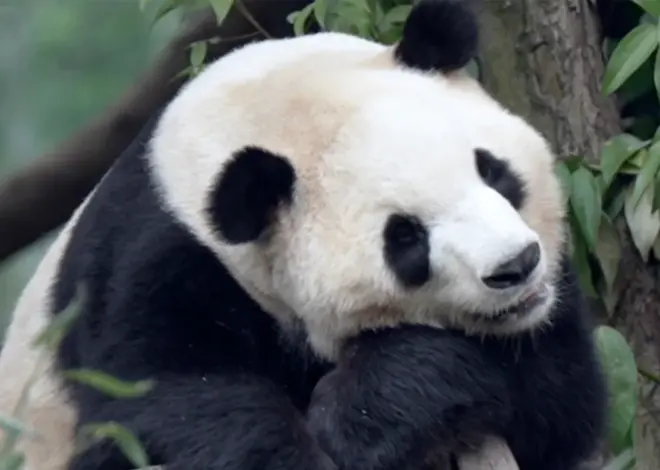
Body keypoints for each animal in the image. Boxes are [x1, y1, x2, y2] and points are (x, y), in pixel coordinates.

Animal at [0, 0, 607, 469]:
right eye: (405, 238)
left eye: (491, 170)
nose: (516, 265)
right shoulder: (150, 267)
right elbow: (164, 406)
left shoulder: (545, 314)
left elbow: (556, 397)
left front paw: (369, 409)